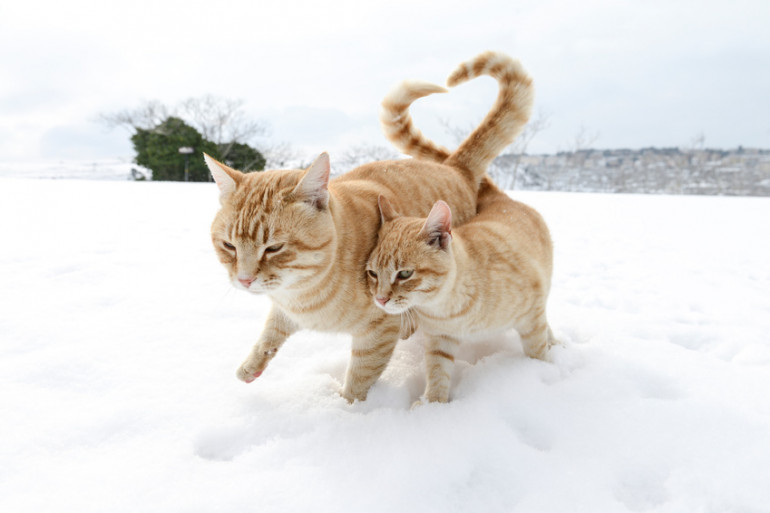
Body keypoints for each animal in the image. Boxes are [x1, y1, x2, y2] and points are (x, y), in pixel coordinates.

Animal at [204, 53, 532, 404]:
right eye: (228, 246)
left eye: (274, 248)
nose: (244, 279)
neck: (303, 295)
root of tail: (454, 166)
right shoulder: (284, 310)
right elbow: (270, 332)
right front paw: (251, 366)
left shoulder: (378, 331)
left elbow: (359, 379)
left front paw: (346, 410)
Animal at [366, 178, 552, 402]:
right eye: (372, 273)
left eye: (405, 274)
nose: (380, 299)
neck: (447, 309)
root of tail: (501, 198)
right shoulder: (439, 338)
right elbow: (437, 370)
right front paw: (433, 403)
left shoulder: (533, 313)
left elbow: (537, 348)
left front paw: (542, 368)